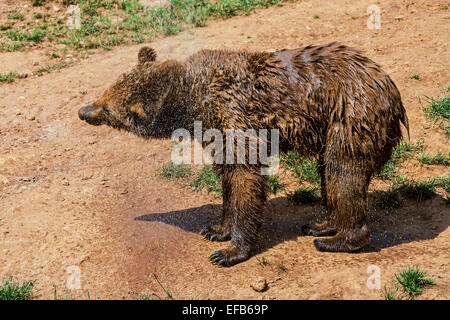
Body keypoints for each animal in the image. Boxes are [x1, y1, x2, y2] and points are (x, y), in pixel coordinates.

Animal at [79, 43, 410, 268]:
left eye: (108, 109)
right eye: (107, 90)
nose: (84, 111)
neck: (193, 101)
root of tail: (393, 93)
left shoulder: (232, 113)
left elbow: (244, 176)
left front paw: (229, 251)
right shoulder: (214, 131)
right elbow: (228, 178)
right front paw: (216, 230)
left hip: (350, 116)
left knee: (342, 174)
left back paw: (337, 239)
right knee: (328, 176)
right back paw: (321, 224)